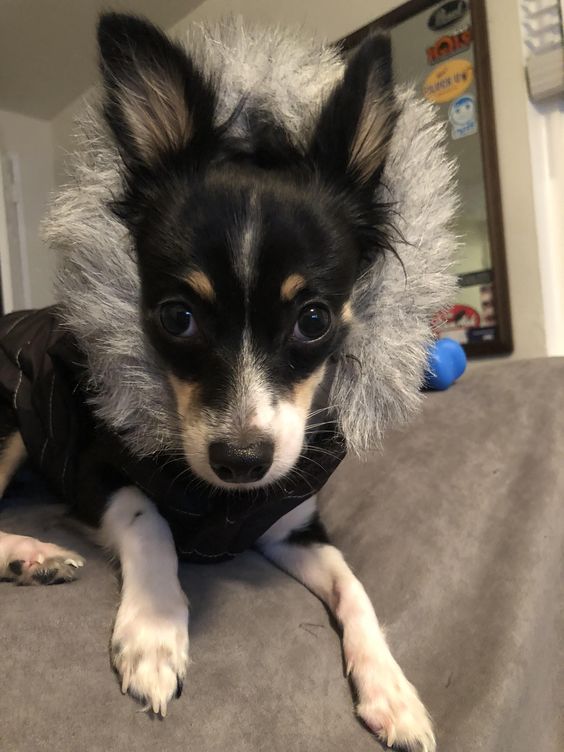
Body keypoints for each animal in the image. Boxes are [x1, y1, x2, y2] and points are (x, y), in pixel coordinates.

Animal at [0, 13, 458, 752]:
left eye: (314, 319)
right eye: (177, 317)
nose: (242, 462)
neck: (225, 505)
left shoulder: (290, 526)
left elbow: (355, 586)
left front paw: (392, 690)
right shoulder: (95, 471)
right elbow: (149, 517)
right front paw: (155, 631)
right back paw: (30, 552)